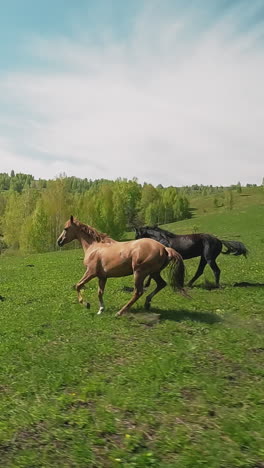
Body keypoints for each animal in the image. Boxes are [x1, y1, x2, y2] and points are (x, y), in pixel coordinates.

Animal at [57, 218, 186, 316]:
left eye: (66, 228)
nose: (59, 241)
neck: (95, 247)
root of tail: (164, 248)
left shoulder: (90, 272)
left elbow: (78, 286)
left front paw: (86, 304)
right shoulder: (102, 277)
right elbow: (100, 292)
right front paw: (101, 309)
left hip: (139, 273)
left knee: (138, 292)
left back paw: (120, 312)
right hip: (154, 273)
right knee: (161, 284)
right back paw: (147, 303)